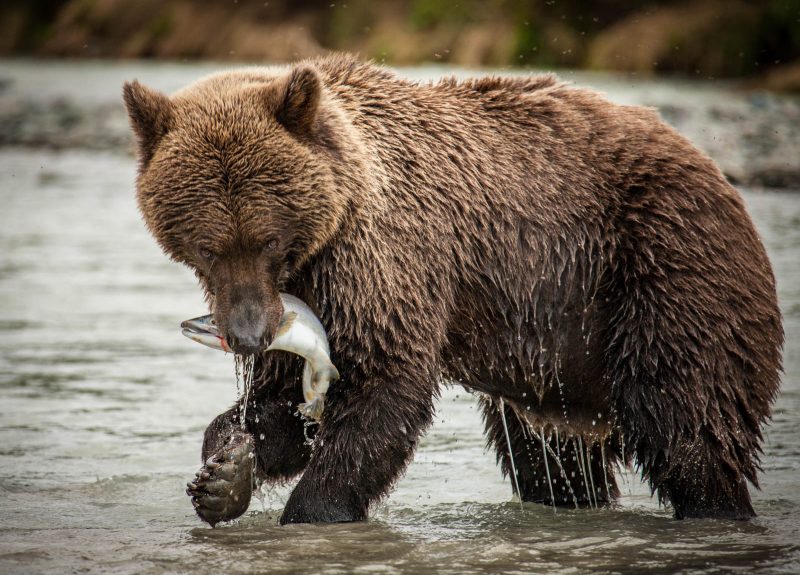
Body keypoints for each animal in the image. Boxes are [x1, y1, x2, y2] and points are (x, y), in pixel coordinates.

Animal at [122, 53, 784, 528]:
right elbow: (283, 407)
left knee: (688, 421)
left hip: (662, 267)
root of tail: (719, 176)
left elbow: (383, 388)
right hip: (561, 360)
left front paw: (312, 512)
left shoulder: (382, 261)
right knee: (552, 461)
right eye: (207, 246)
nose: (246, 335)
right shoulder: (306, 299)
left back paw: (716, 511)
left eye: (266, 238)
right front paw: (224, 470)